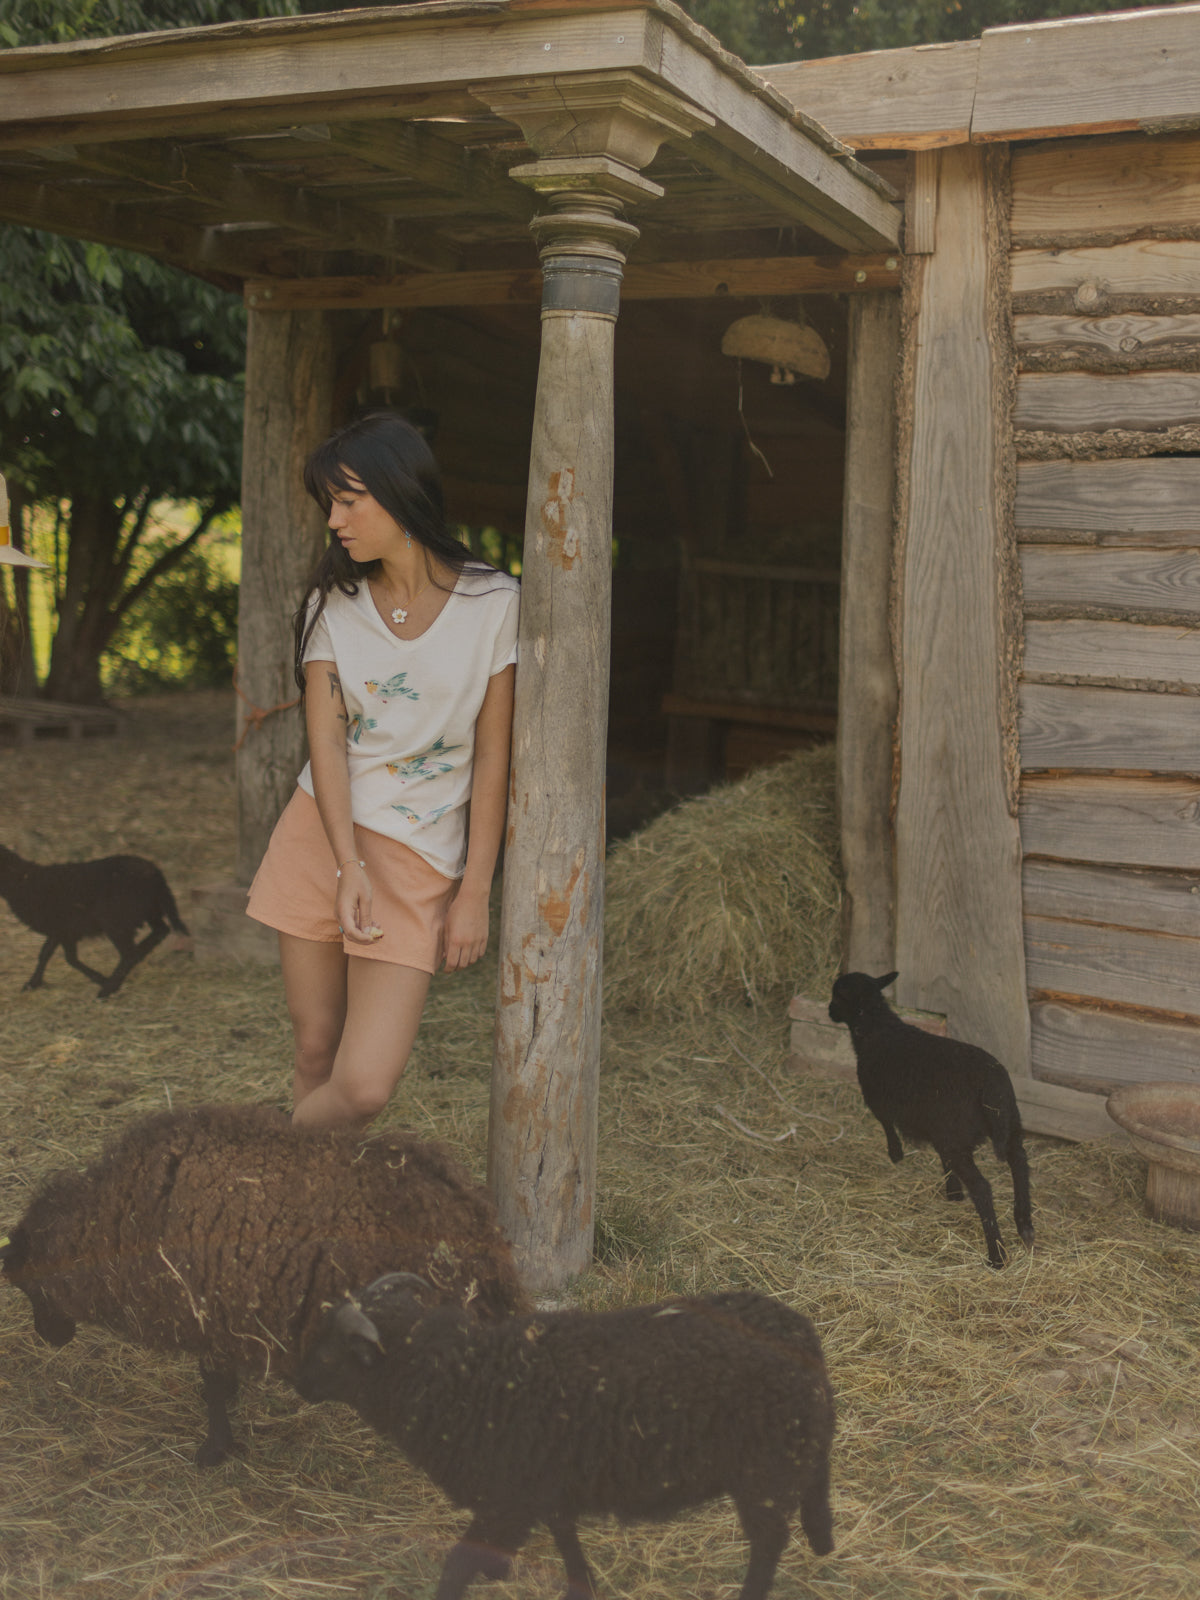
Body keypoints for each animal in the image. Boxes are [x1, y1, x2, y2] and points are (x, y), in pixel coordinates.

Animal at [0, 844, 188, 992]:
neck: (22, 881)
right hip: (148, 911)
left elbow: (70, 959)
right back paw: (138, 953)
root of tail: (156, 874)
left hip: (115, 921)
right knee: (160, 931)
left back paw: (109, 988)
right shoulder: (59, 929)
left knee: (129, 954)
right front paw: (32, 983)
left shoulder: (65, 928)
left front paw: (101, 979)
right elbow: (46, 953)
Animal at [1, 1107, 524, 1465]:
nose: (49, 1337)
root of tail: (479, 1222)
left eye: (27, 1285)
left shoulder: (210, 1311)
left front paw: (214, 1449)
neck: (118, 1219)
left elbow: (213, 1385)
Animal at [296, 1273, 838, 1600]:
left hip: (766, 1471)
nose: (296, 1380)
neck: (462, 1378)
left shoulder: (507, 1500)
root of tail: (801, 1333)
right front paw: (577, 1585)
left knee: (768, 1544)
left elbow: (459, 1564)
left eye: (330, 1351)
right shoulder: (546, 1490)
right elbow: (565, 1542)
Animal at [832, 966, 1036, 1267]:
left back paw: (996, 1255)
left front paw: (896, 1154)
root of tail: (989, 1085)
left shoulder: (876, 1099)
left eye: (836, 995)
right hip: (1009, 1122)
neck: (878, 1028)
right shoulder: (940, 1129)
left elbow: (887, 1125)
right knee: (1020, 1164)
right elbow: (943, 1159)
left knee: (983, 1188)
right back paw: (1024, 1226)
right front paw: (953, 1192)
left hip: (961, 1137)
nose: (829, 1011)